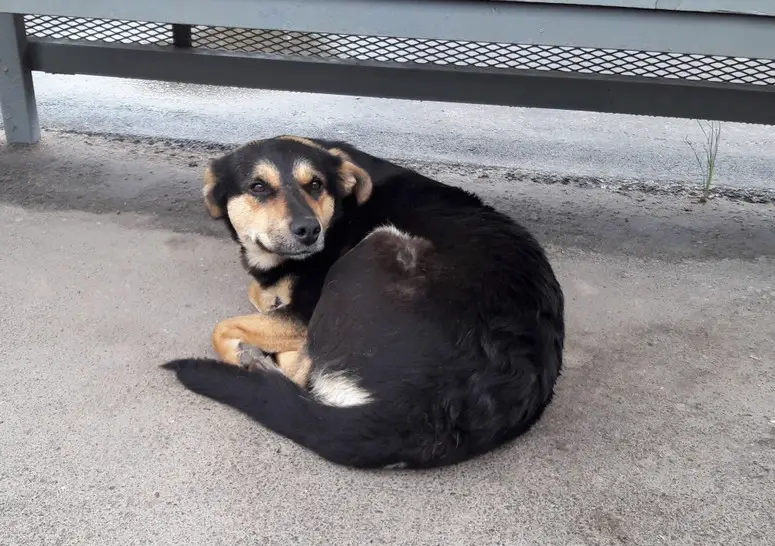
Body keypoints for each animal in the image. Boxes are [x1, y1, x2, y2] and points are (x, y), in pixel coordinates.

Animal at [164, 136, 568, 468]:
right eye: (258, 187)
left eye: (315, 184)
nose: (310, 231)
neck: (341, 210)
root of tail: (432, 412)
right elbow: (257, 292)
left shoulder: (304, 314)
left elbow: (225, 326)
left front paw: (243, 351)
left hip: (377, 246)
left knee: (303, 373)